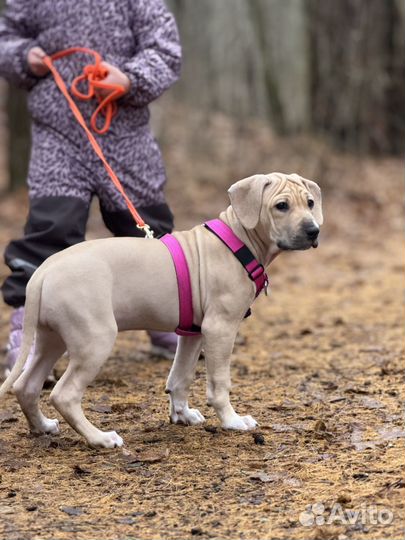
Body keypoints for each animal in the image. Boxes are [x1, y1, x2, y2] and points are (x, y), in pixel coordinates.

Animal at [0, 172, 322, 448]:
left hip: (51, 338)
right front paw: (232, 420)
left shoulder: (193, 333)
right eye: (281, 206)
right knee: (64, 394)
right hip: (94, 340)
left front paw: (182, 415)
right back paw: (99, 438)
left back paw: (42, 426)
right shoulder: (220, 329)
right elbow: (219, 384)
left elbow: (180, 378)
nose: (313, 231)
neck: (238, 239)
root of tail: (43, 270)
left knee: (26, 385)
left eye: (309, 203)